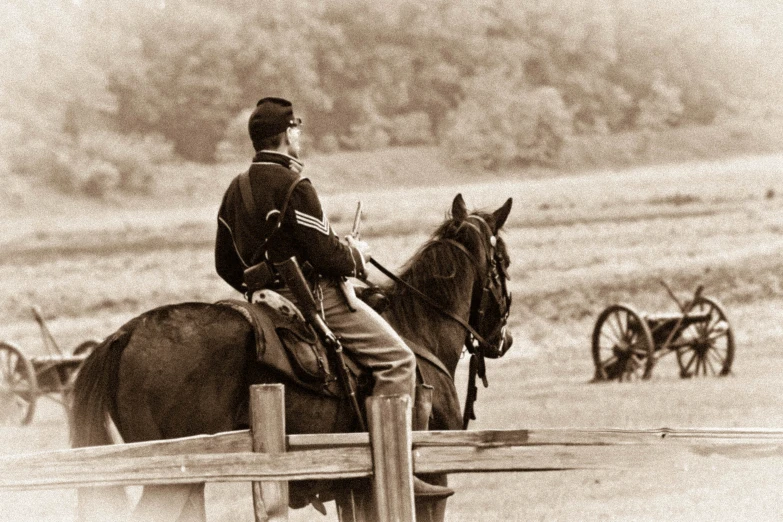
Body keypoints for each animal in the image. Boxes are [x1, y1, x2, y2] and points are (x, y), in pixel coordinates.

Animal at [72, 193, 516, 516]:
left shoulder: (354, 488)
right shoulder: (434, 479)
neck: (419, 328)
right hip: (170, 477)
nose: (504, 340)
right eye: (505, 262)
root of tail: (128, 332)